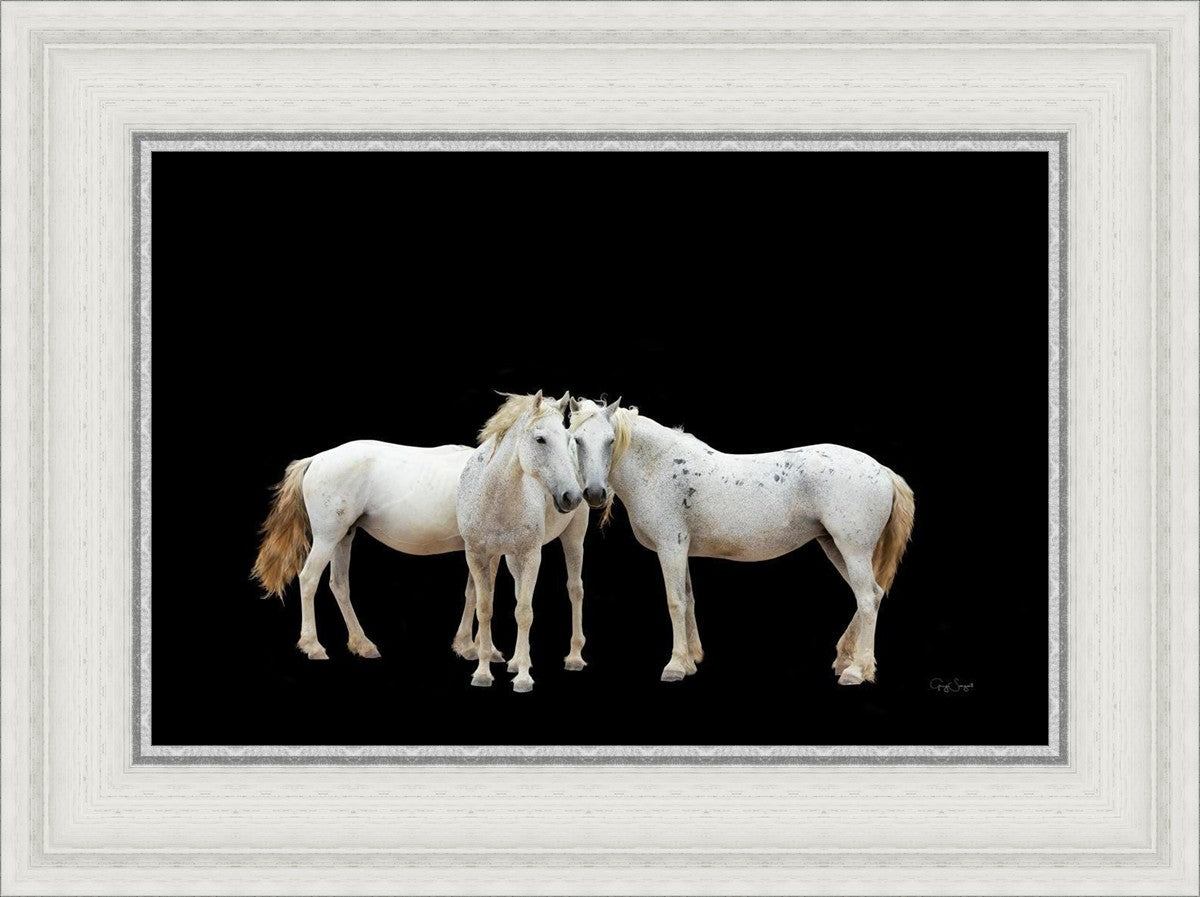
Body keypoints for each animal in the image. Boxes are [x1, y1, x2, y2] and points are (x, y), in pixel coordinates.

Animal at [251, 391, 591, 669]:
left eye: (568, 438)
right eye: (540, 439)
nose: (571, 496)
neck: (488, 481)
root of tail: (317, 458)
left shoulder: (488, 551)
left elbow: (476, 593)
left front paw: (472, 647)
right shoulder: (483, 550)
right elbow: (484, 595)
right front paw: (480, 649)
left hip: (343, 536)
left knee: (339, 585)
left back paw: (363, 644)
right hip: (326, 537)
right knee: (309, 580)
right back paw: (313, 646)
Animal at [457, 390, 594, 693]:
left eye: (567, 438)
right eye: (540, 439)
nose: (572, 496)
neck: (494, 497)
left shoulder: (532, 555)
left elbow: (524, 612)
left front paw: (522, 678)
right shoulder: (478, 556)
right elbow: (485, 608)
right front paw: (483, 672)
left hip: (574, 538)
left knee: (575, 589)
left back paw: (574, 657)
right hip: (509, 557)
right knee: (519, 591)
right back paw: (516, 660)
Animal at [568, 397, 915, 686]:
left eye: (611, 441)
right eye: (577, 440)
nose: (595, 493)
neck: (658, 467)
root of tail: (882, 470)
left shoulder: (671, 547)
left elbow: (676, 602)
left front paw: (675, 666)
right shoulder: (682, 550)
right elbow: (689, 600)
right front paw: (690, 660)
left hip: (853, 550)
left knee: (867, 599)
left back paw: (856, 671)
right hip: (834, 546)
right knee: (872, 595)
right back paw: (847, 659)